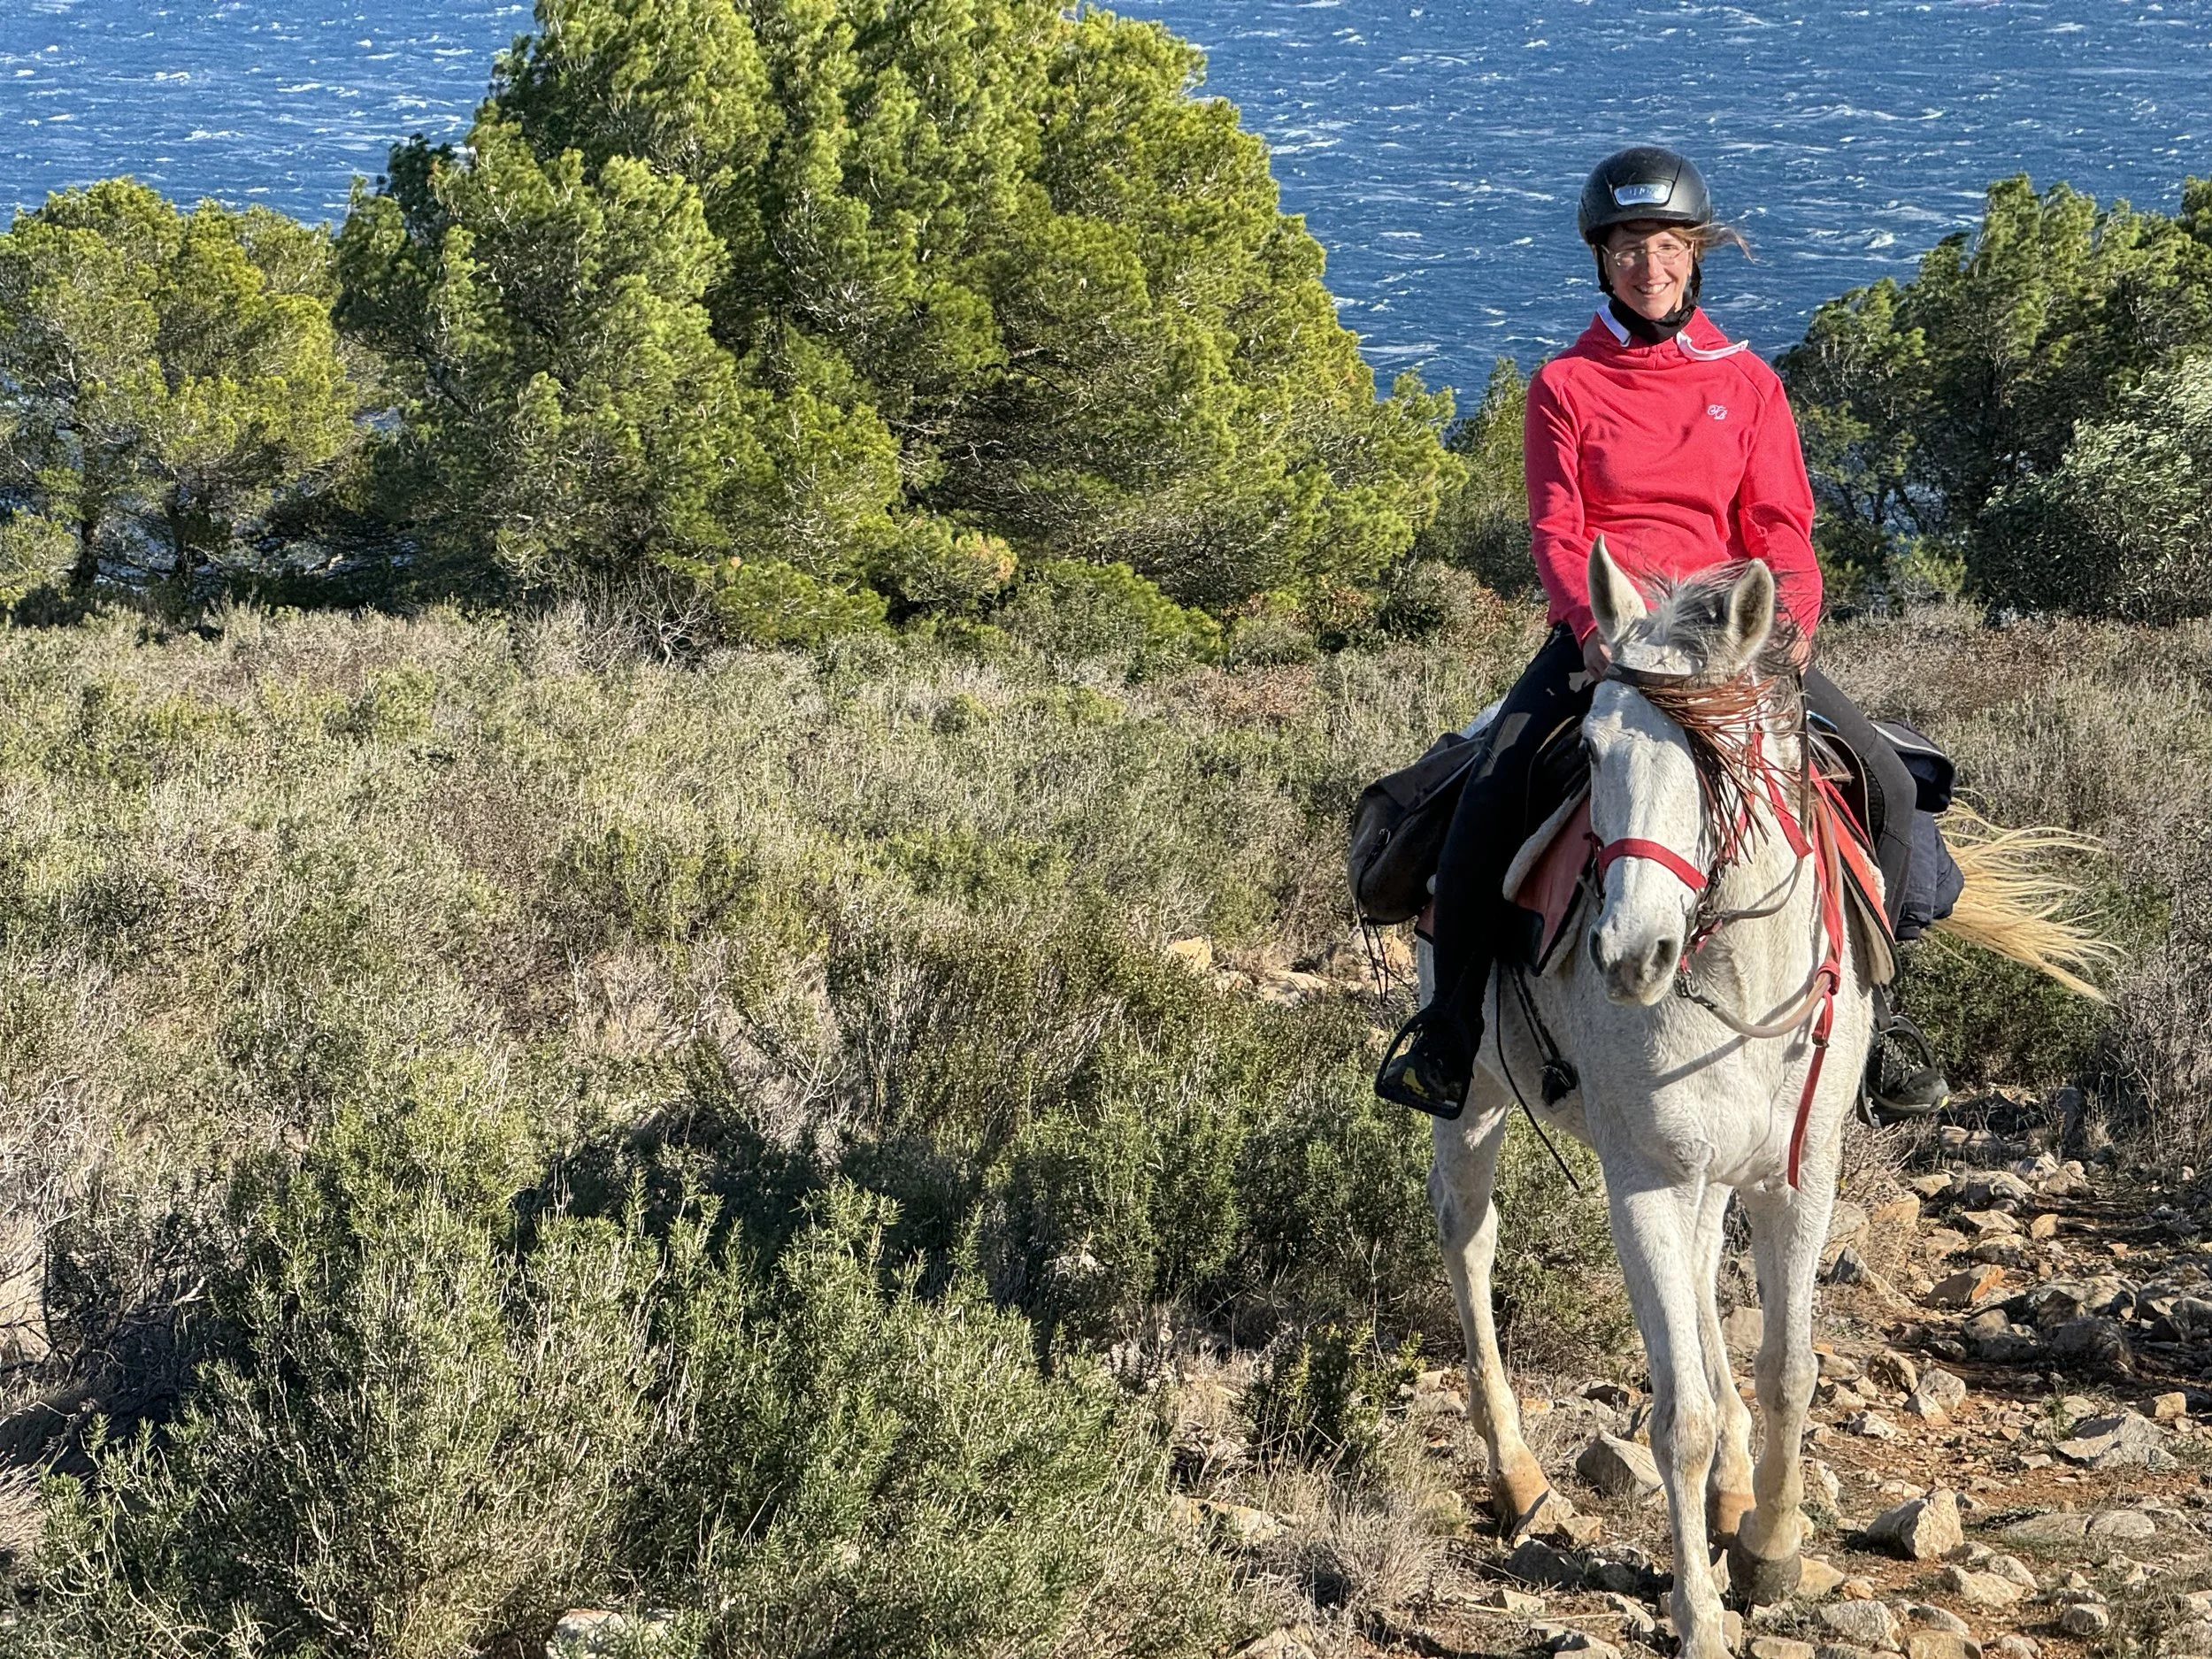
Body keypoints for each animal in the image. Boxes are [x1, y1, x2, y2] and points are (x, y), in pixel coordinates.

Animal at [1426, 540, 2107, 1659]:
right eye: (1590, 753)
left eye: (1724, 756)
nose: (1629, 954)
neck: (1736, 978)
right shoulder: (1645, 1183)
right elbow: (1680, 1417)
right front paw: (1698, 1613)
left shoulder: (1798, 1176)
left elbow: (1788, 1367)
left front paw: (1772, 1545)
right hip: (1477, 1099)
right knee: (1469, 1236)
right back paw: (1517, 1475)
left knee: (1704, 1283)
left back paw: (1736, 1490)